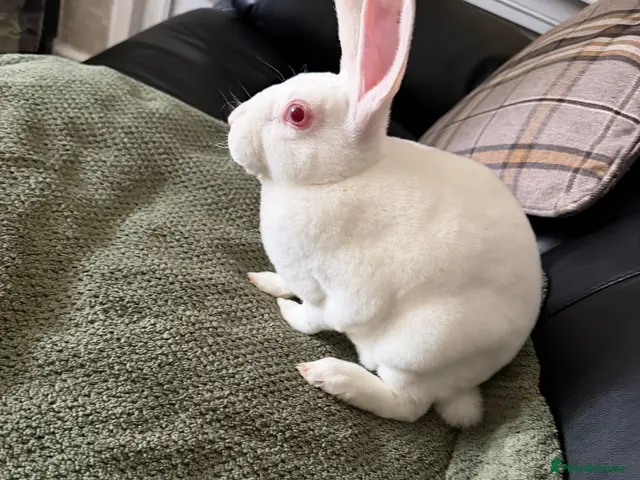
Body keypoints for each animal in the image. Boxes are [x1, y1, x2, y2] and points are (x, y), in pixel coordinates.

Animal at [226, 0, 542, 427]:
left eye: (297, 114)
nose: (231, 121)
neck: (340, 178)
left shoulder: (336, 294)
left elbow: (313, 318)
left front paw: (287, 312)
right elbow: (287, 284)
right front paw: (266, 281)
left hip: (421, 348)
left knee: (406, 406)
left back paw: (332, 376)